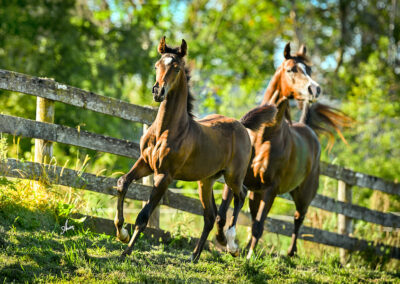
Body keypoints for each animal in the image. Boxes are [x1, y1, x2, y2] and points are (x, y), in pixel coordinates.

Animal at [112, 36, 276, 262]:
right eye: (157, 65)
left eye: (176, 68)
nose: (157, 91)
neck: (167, 129)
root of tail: (241, 125)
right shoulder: (145, 163)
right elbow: (122, 183)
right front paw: (121, 233)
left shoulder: (164, 175)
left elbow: (143, 215)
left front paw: (126, 251)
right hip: (205, 181)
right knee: (210, 215)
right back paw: (194, 256)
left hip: (233, 176)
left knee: (240, 195)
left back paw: (231, 244)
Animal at [216, 42, 350, 260]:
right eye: (291, 69)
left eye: (309, 69)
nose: (315, 89)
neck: (263, 136)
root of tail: (308, 129)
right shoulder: (237, 179)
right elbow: (224, 215)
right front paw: (223, 241)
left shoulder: (271, 189)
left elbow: (259, 226)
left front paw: (249, 256)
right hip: (256, 193)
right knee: (255, 217)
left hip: (303, 196)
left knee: (297, 219)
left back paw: (291, 252)